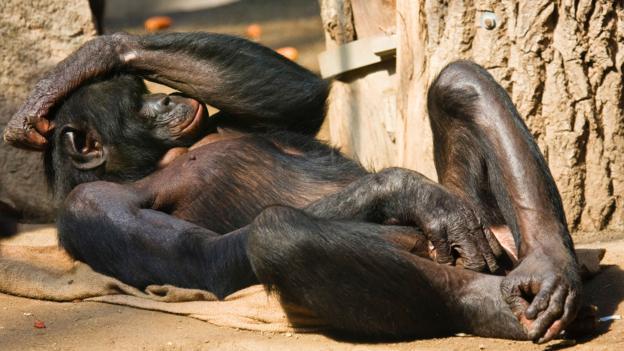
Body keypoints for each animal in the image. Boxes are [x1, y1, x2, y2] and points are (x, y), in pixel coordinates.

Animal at [2, 32, 584, 344]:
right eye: (135, 104)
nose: (165, 100)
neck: (141, 162)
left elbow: (300, 98)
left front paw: (81, 64)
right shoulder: (91, 206)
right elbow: (202, 260)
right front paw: (407, 192)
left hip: (496, 234)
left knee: (459, 83)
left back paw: (550, 268)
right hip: (480, 253)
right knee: (278, 236)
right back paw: (487, 306)